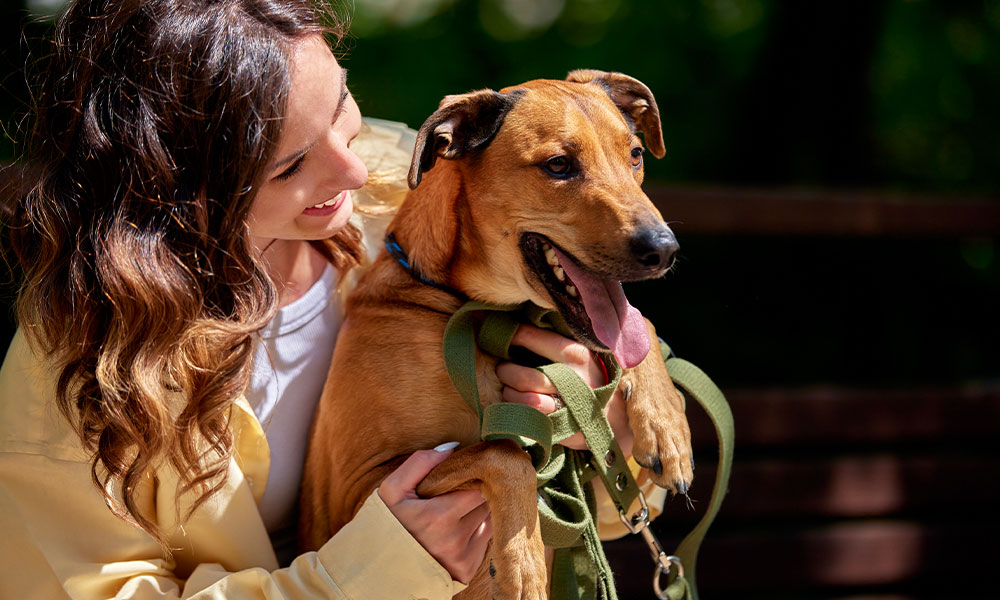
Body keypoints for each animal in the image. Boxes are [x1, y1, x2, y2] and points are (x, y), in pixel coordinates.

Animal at [302, 71, 696, 600]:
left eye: (634, 154)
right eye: (558, 165)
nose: (665, 250)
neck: (487, 316)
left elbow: (642, 327)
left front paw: (667, 424)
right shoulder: (353, 495)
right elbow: (504, 453)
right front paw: (521, 563)